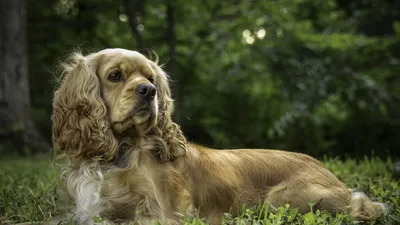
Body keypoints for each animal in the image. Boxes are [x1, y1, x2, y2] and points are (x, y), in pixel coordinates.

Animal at [51, 48, 386, 224]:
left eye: (150, 78)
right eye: (115, 76)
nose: (149, 90)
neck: (116, 155)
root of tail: (332, 175)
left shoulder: (159, 214)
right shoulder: (81, 212)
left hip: (282, 199)